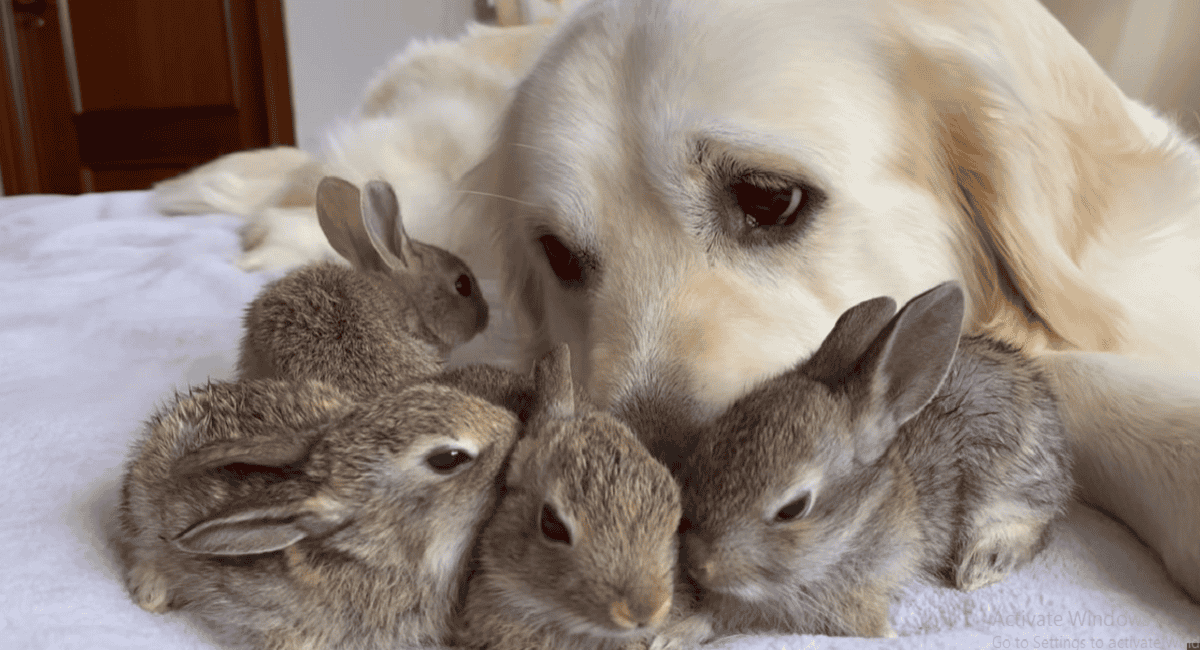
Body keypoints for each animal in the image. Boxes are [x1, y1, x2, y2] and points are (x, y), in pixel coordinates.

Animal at [677, 281, 1073, 638]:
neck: (855, 527)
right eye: (702, 454)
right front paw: (679, 632)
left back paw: (981, 566)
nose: (697, 564)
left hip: (1007, 486)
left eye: (793, 509)